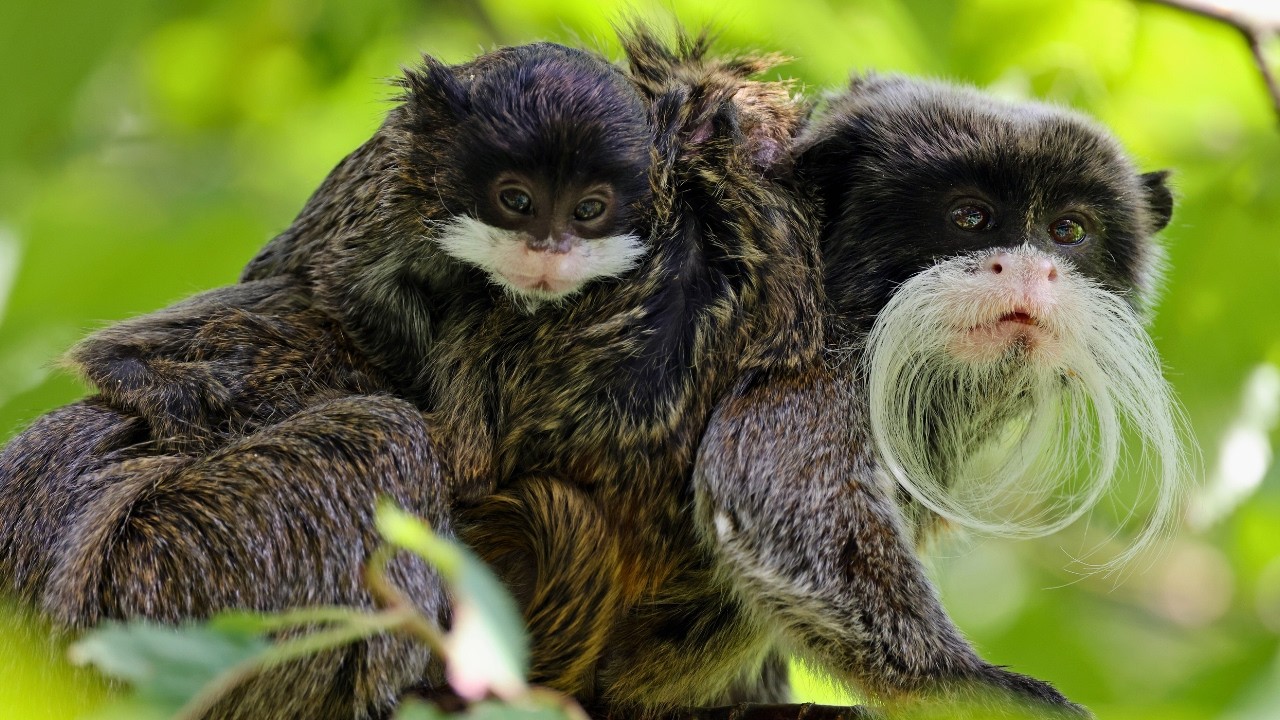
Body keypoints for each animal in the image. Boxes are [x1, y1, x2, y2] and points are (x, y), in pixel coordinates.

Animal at [685, 75, 1189, 717]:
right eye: (971, 217)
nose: (1030, 270)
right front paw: (971, 685)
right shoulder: (815, 369)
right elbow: (776, 490)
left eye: (1068, 231)